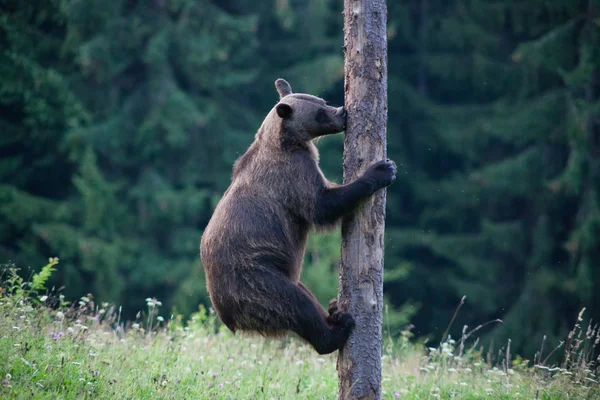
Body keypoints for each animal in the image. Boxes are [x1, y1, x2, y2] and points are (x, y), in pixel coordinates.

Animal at [202, 78, 396, 354]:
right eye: (320, 112)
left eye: (322, 101)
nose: (342, 112)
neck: (286, 141)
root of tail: (228, 318)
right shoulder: (293, 174)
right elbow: (322, 204)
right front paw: (382, 170)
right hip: (255, 279)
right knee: (296, 305)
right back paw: (338, 329)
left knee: (305, 296)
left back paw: (334, 310)